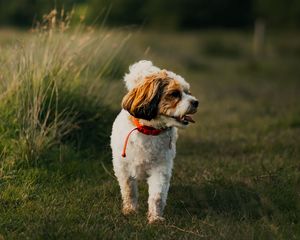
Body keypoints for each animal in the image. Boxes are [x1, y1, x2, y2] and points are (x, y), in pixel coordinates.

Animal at [110, 60, 199, 223]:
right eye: (174, 94)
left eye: (188, 92)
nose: (196, 102)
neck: (149, 130)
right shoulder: (124, 167)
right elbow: (129, 190)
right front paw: (130, 210)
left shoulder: (161, 168)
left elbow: (157, 195)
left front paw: (155, 217)